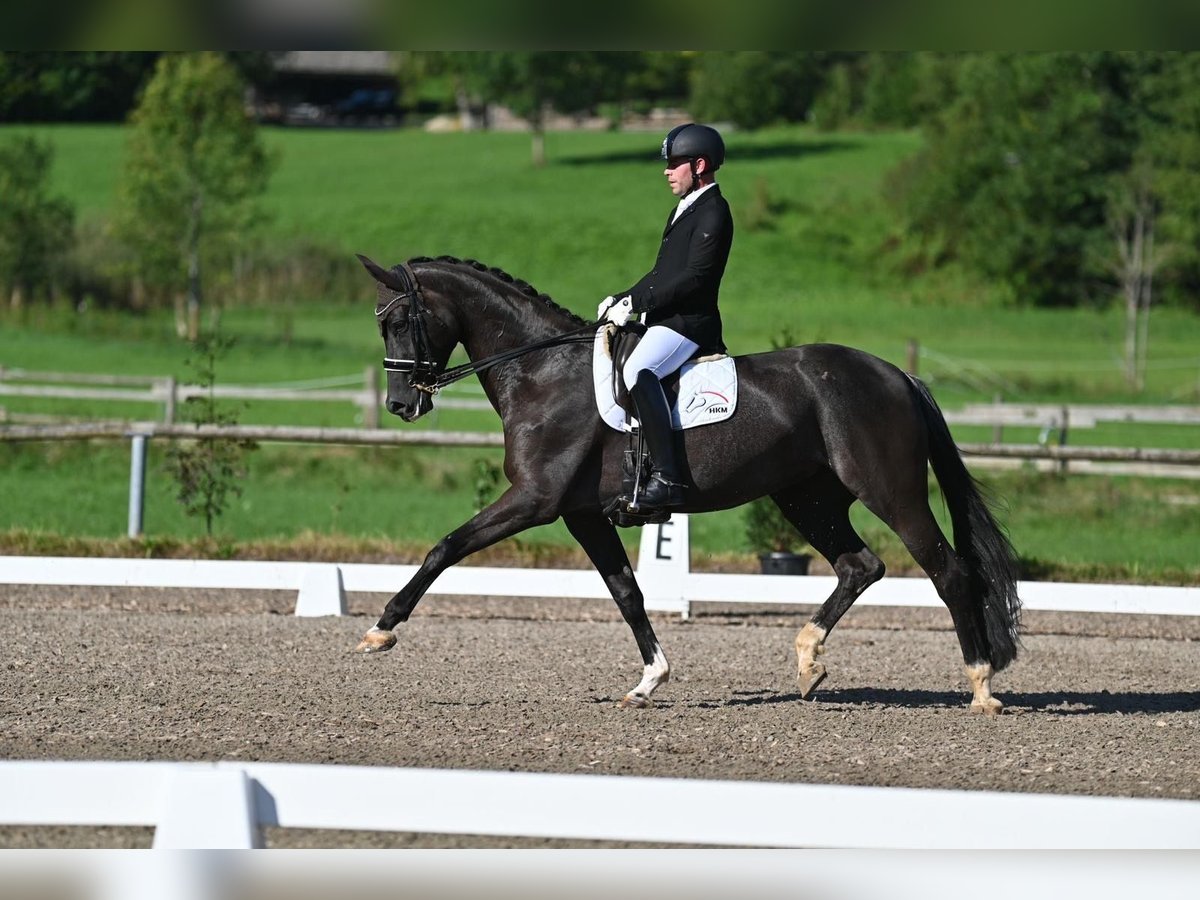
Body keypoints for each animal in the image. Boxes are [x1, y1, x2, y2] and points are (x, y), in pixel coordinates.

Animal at [355, 255, 1022, 720]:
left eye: (400, 321)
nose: (401, 405)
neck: (542, 372)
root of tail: (898, 375)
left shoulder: (535, 501)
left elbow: (445, 547)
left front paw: (381, 630)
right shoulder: (581, 514)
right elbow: (627, 593)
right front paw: (650, 680)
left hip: (891, 492)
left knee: (948, 571)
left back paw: (981, 687)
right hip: (804, 497)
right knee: (860, 565)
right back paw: (809, 660)